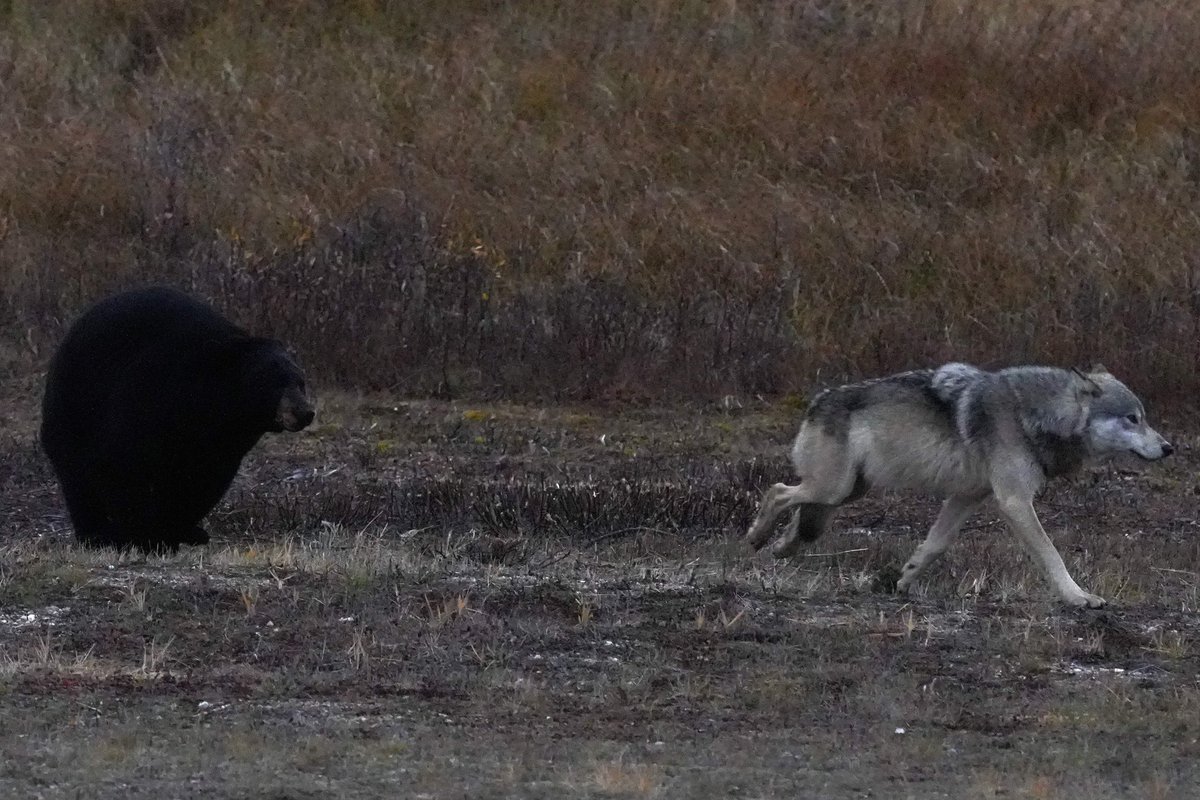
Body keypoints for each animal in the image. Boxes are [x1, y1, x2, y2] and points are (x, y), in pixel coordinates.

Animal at [40, 286, 315, 552]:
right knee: (76, 476)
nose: (305, 412)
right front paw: (144, 537)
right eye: (275, 384)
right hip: (71, 410)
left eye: (300, 382)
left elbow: (202, 482)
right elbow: (118, 463)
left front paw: (180, 531)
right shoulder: (146, 397)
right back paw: (95, 534)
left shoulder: (220, 442)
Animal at [745, 363, 1172, 608]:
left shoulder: (968, 496)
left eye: (1144, 417)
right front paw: (1077, 597)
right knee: (778, 491)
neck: (1036, 416)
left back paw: (781, 547)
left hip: (848, 492)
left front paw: (904, 579)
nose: (1169, 448)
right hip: (834, 489)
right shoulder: (1014, 501)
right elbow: (1052, 555)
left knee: (799, 517)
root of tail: (817, 400)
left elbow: (935, 545)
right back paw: (756, 537)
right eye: (1132, 419)